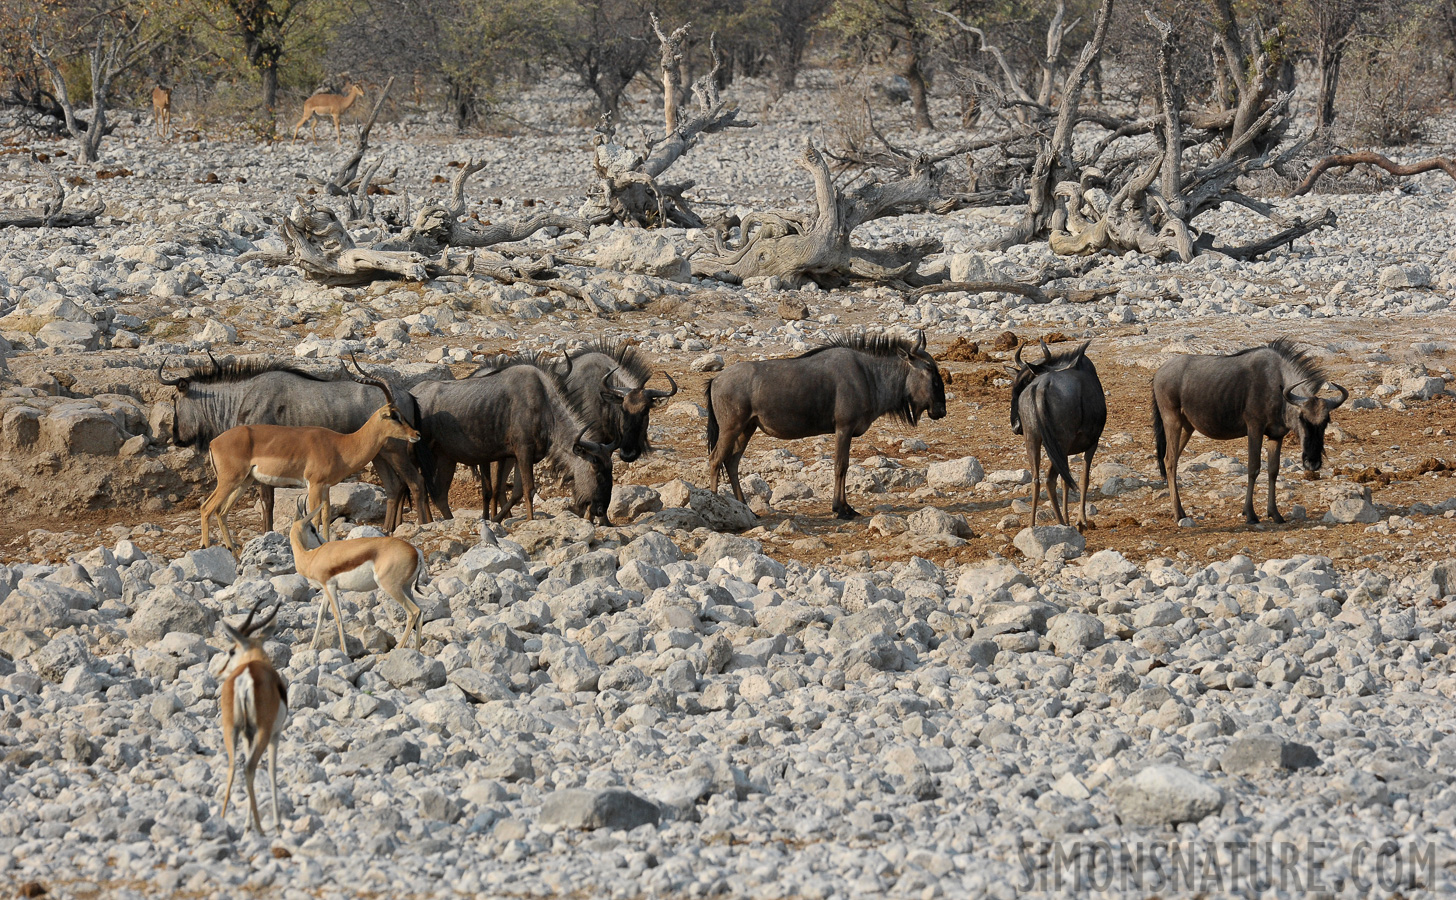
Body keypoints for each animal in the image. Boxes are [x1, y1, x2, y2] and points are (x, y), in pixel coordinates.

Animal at [198, 353, 422, 550]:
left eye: (401, 413)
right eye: (393, 415)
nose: (416, 434)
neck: (340, 445)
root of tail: (214, 442)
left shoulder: (326, 487)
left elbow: (325, 516)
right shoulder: (313, 485)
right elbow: (314, 519)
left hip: (243, 482)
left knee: (221, 511)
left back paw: (233, 553)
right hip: (229, 481)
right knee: (207, 508)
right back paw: (207, 548)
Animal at [215, 597, 286, 833]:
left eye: (231, 651)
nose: (218, 672)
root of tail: (246, 675)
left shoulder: (248, 734)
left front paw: (246, 824)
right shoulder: (275, 734)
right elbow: (272, 771)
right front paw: (277, 823)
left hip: (231, 729)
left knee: (233, 766)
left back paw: (223, 819)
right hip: (263, 732)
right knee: (249, 767)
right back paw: (262, 828)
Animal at [288, 498, 425, 652]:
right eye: (312, 529)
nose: (323, 542)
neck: (311, 558)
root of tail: (416, 552)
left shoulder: (330, 587)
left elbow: (338, 616)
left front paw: (345, 652)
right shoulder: (327, 588)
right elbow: (321, 614)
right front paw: (311, 647)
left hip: (391, 587)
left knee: (413, 612)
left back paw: (398, 649)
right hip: (406, 588)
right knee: (420, 612)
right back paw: (416, 651)